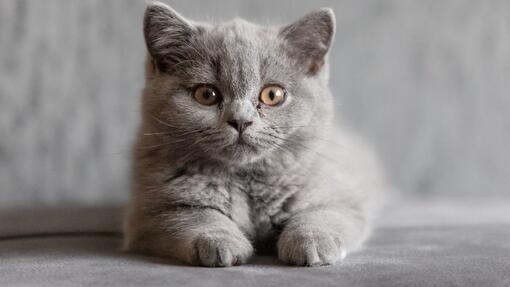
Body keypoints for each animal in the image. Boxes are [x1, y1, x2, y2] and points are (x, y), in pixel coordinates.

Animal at [124, 1, 386, 268]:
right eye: (206, 94)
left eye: (273, 95)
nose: (241, 120)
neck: (245, 178)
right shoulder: (148, 213)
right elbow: (193, 216)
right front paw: (219, 242)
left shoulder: (342, 197)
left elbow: (322, 213)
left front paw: (312, 242)